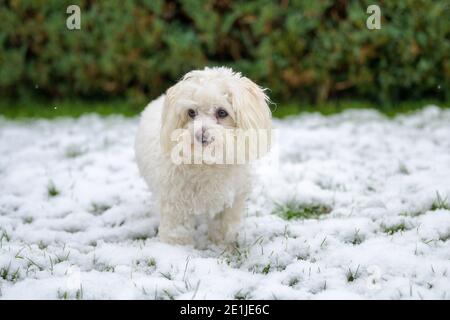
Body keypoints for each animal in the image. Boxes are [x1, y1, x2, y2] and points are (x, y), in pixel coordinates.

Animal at [135, 66, 272, 244]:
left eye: (222, 112)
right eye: (191, 112)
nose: (200, 134)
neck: (207, 162)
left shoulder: (232, 201)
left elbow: (224, 228)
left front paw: (223, 245)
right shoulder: (175, 204)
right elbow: (176, 232)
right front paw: (174, 248)